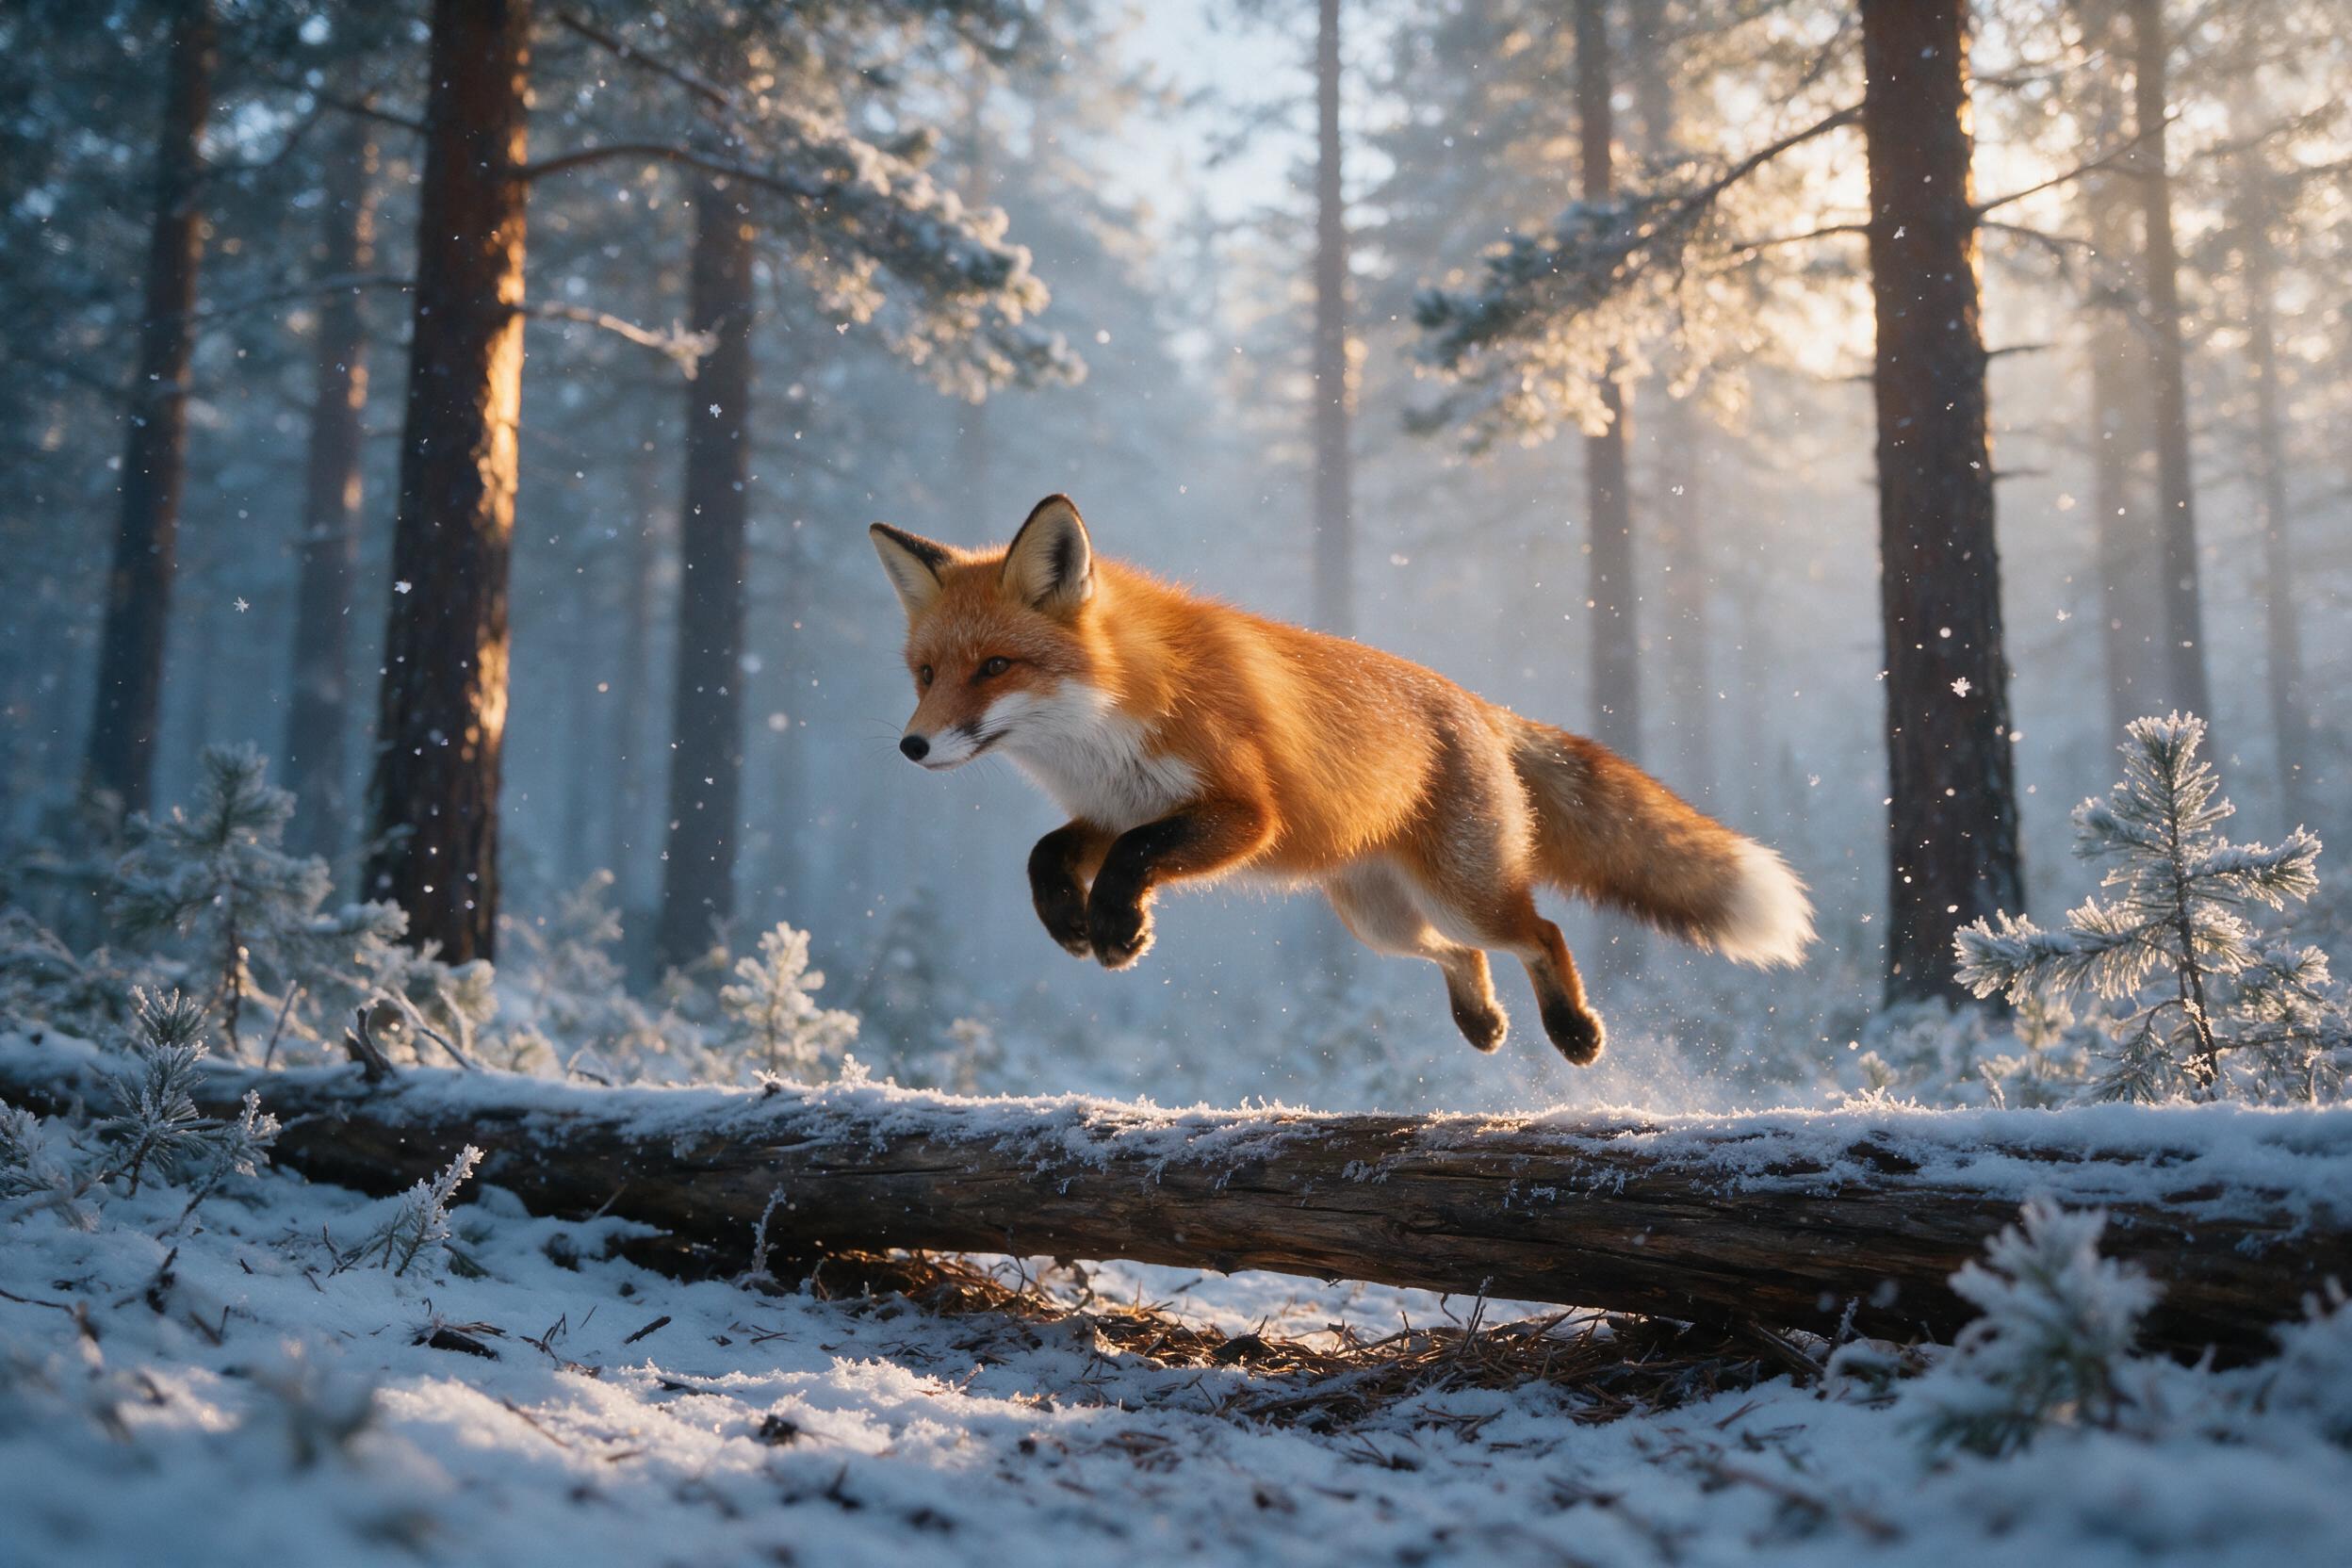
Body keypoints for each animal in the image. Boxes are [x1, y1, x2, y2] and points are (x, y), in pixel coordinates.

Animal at [870, 494, 1813, 1064]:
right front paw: (1073, 920)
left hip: (1461, 892)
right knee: (1464, 953)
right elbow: (1044, 854)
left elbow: (1138, 856)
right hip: (1378, 921)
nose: (912, 747)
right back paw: (1483, 1022)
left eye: (994, 666)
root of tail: (1478, 703)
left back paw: (1574, 1030)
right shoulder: (1108, 808)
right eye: (925, 674)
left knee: (1540, 932)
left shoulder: (1243, 816)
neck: (1110, 721)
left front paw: (1116, 927)